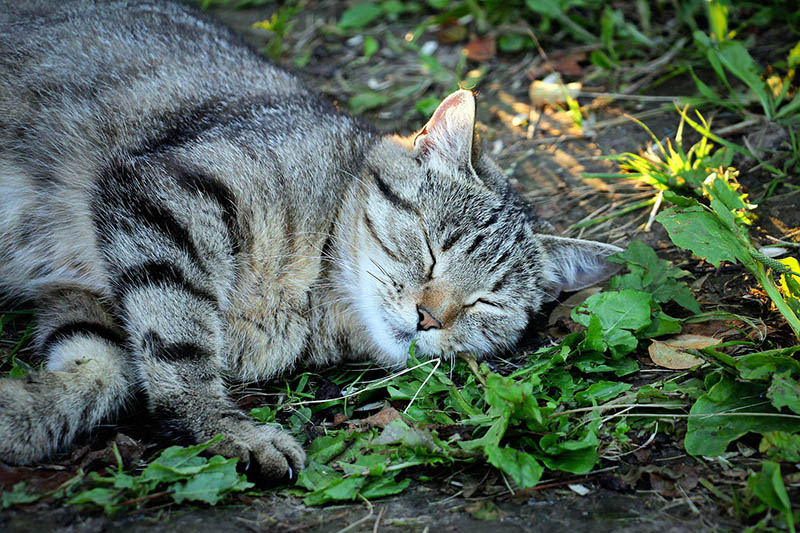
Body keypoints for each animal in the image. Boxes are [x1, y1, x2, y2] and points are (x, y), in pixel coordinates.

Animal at [0, 0, 620, 480]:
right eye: (431, 247)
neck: (313, 300)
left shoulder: (90, 301)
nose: (428, 318)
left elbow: (95, 374)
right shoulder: (167, 194)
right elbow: (180, 346)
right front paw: (227, 427)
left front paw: (19, 416)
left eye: (485, 302)